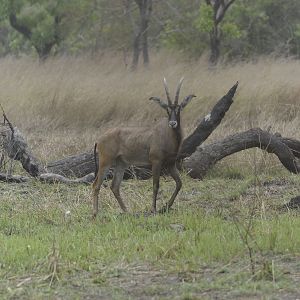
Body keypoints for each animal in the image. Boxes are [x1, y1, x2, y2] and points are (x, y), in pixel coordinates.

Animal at [92, 78, 195, 217]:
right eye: (167, 109)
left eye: (179, 108)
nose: (173, 123)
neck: (167, 134)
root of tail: (99, 139)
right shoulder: (156, 162)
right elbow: (156, 185)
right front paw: (153, 210)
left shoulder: (170, 164)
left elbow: (179, 183)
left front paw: (166, 207)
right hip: (105, 162)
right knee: (96, 185)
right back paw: (95, 213)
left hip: (121, 163)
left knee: (114, 186)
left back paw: (126, 211)